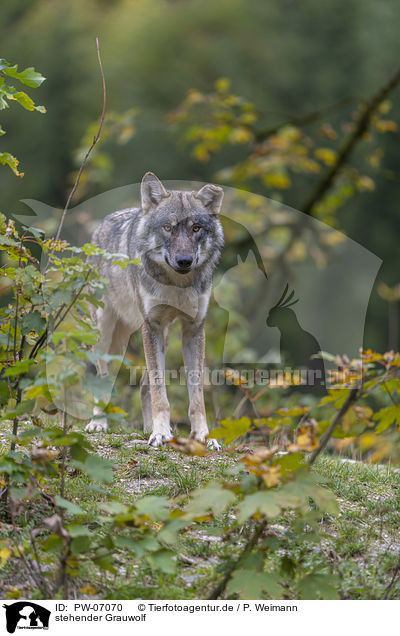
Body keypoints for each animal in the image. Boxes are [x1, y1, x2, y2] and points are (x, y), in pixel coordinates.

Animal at [85, 173, 223, 448]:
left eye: (196, 228)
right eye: (168, 228)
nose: (184, 261)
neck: (177, 285)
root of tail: (99, 227)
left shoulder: (193, 329)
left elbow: (196, 395)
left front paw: (202, 437)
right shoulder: (153, 326)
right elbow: (161, 392)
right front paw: (160, 434)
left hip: (162, 337)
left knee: (143, 385)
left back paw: (150, 428)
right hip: (105, 334)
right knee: (102, 378)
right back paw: (99, 423)